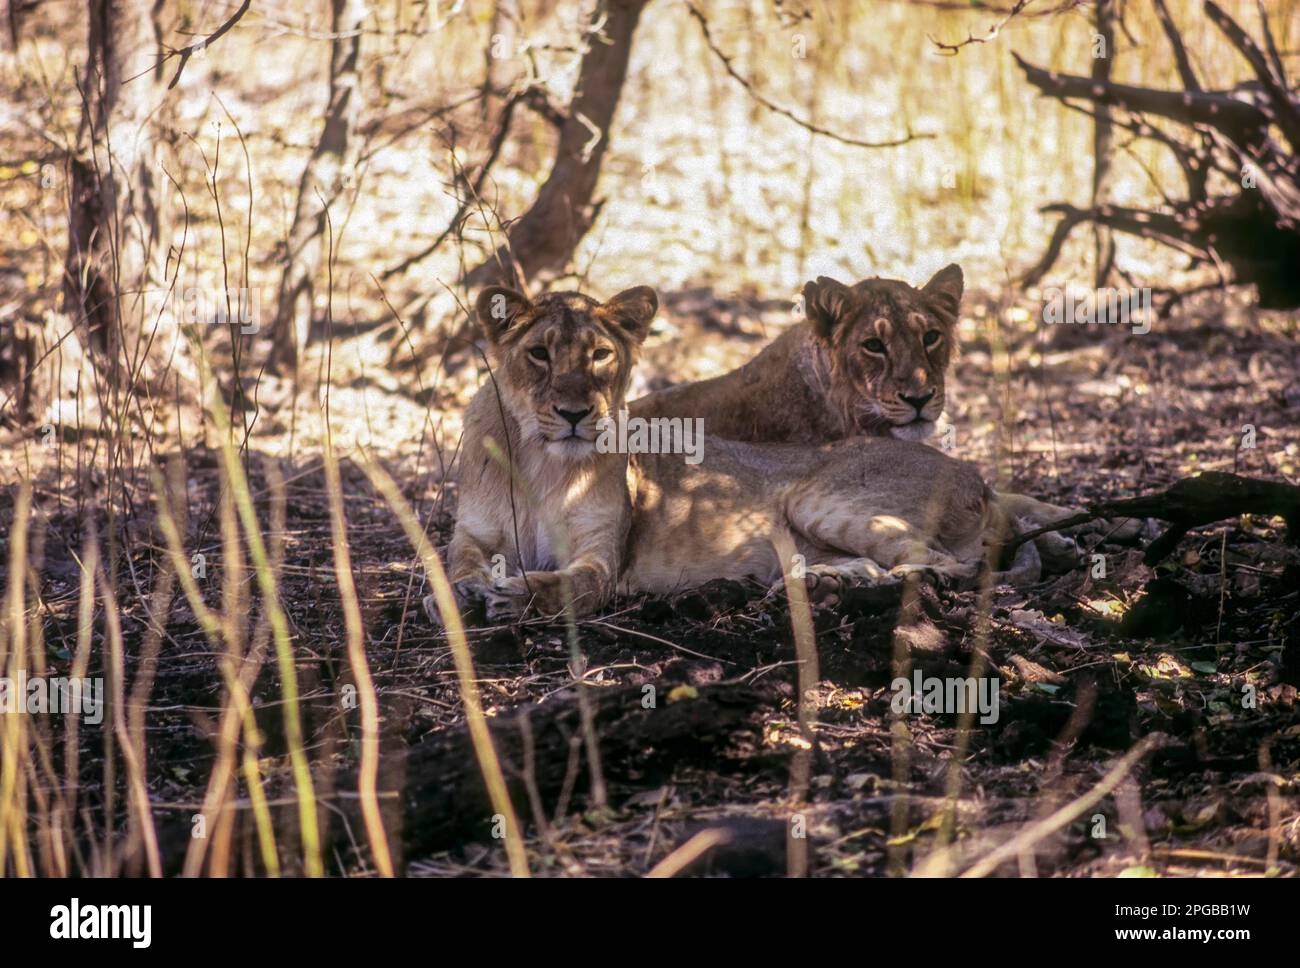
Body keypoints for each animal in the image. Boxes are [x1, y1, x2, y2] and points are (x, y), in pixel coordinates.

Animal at [431, 283, 1019, 623]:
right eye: (538, 354)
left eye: (600, 355)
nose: (576, 412)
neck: (542, 461)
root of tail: (977, 478)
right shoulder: (473, 533)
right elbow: (454, 563)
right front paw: (461, 593)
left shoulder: (602, 553)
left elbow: (577, 585)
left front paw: (514, 596)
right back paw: (827, 580)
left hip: (817, 499)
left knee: (953, 565)